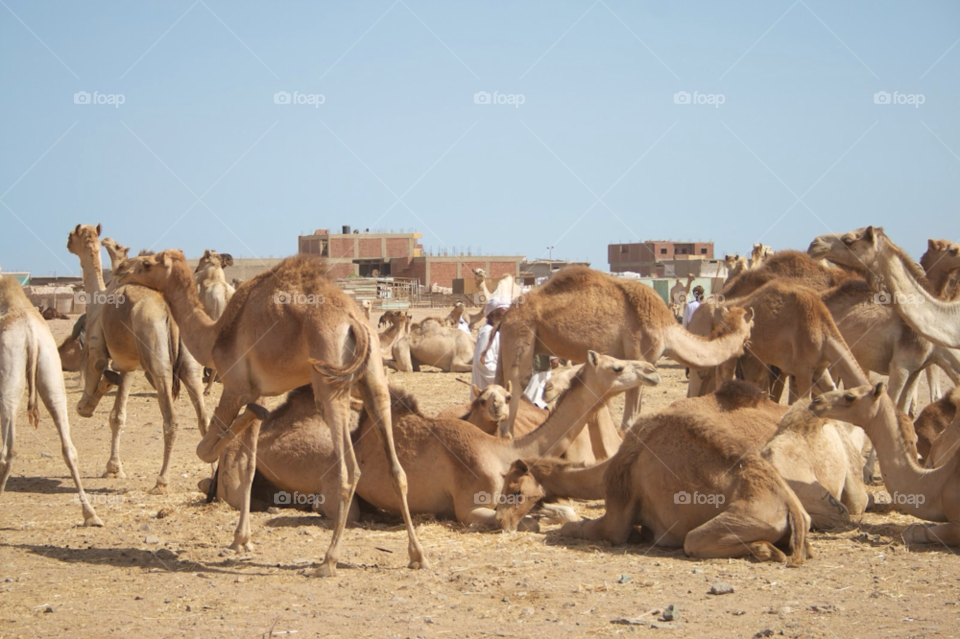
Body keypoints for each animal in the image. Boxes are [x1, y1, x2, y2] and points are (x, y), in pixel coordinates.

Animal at [67, 225, 210, 496]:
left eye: (72, 235)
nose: (67, 242)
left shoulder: (96, 348)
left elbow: (90, 393)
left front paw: (88, 406)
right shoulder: (129, 366)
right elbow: (117, 416)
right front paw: (114, 468)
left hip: (156, 359)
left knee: (171, 420)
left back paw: (161, 481)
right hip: (190, 362)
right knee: (204, 417)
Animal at [118, 249, 426, 576]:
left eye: (146, 263)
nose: (122, 269)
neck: (214, 334)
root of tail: (354, 323)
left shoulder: (237, 386)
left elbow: (205, 449)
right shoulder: (259, 392)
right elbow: (249, 465)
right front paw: (241, 539)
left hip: (329, 383)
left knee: (349, 470)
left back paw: (327, 561)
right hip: (374, 381)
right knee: (396, 469)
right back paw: (417, 555)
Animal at [496, 268, 756, 438]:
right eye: (751, 324)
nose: (748, 343)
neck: (667, 329)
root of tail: (506, 316)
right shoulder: (640, 355)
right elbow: (630, 416)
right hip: (521, 334)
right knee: (517, 386)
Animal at [560, 380, 812, 564]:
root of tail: (791, 507)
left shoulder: (619, 496)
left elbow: (601, 529)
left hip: (744, 520)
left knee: (693, 541)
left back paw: (766, 551)